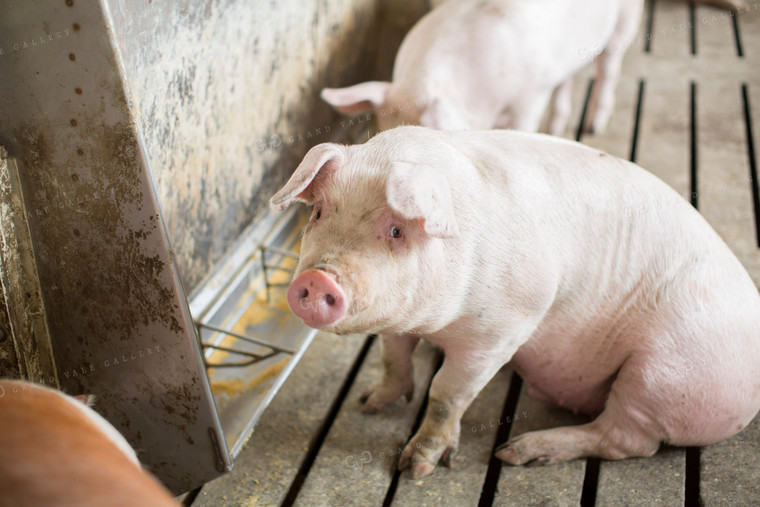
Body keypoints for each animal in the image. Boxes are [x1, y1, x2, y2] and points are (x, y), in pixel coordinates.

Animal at [272, 127, 760, 480]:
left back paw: (518, 452)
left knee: (628, 439)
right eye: (318, 213)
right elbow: (393, 356)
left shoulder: (504, 327)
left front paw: (418, 469)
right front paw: (369, 403)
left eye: (396, 230)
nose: (317, 279)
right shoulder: (400, 321)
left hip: (662, 376)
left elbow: (447, 393)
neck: (436, 326)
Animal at [320, 0, 640, 135]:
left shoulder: (530, 99)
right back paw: (557, 128)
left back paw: (593, 127)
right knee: (569, 78)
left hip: (625, 21)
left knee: (608, 70)